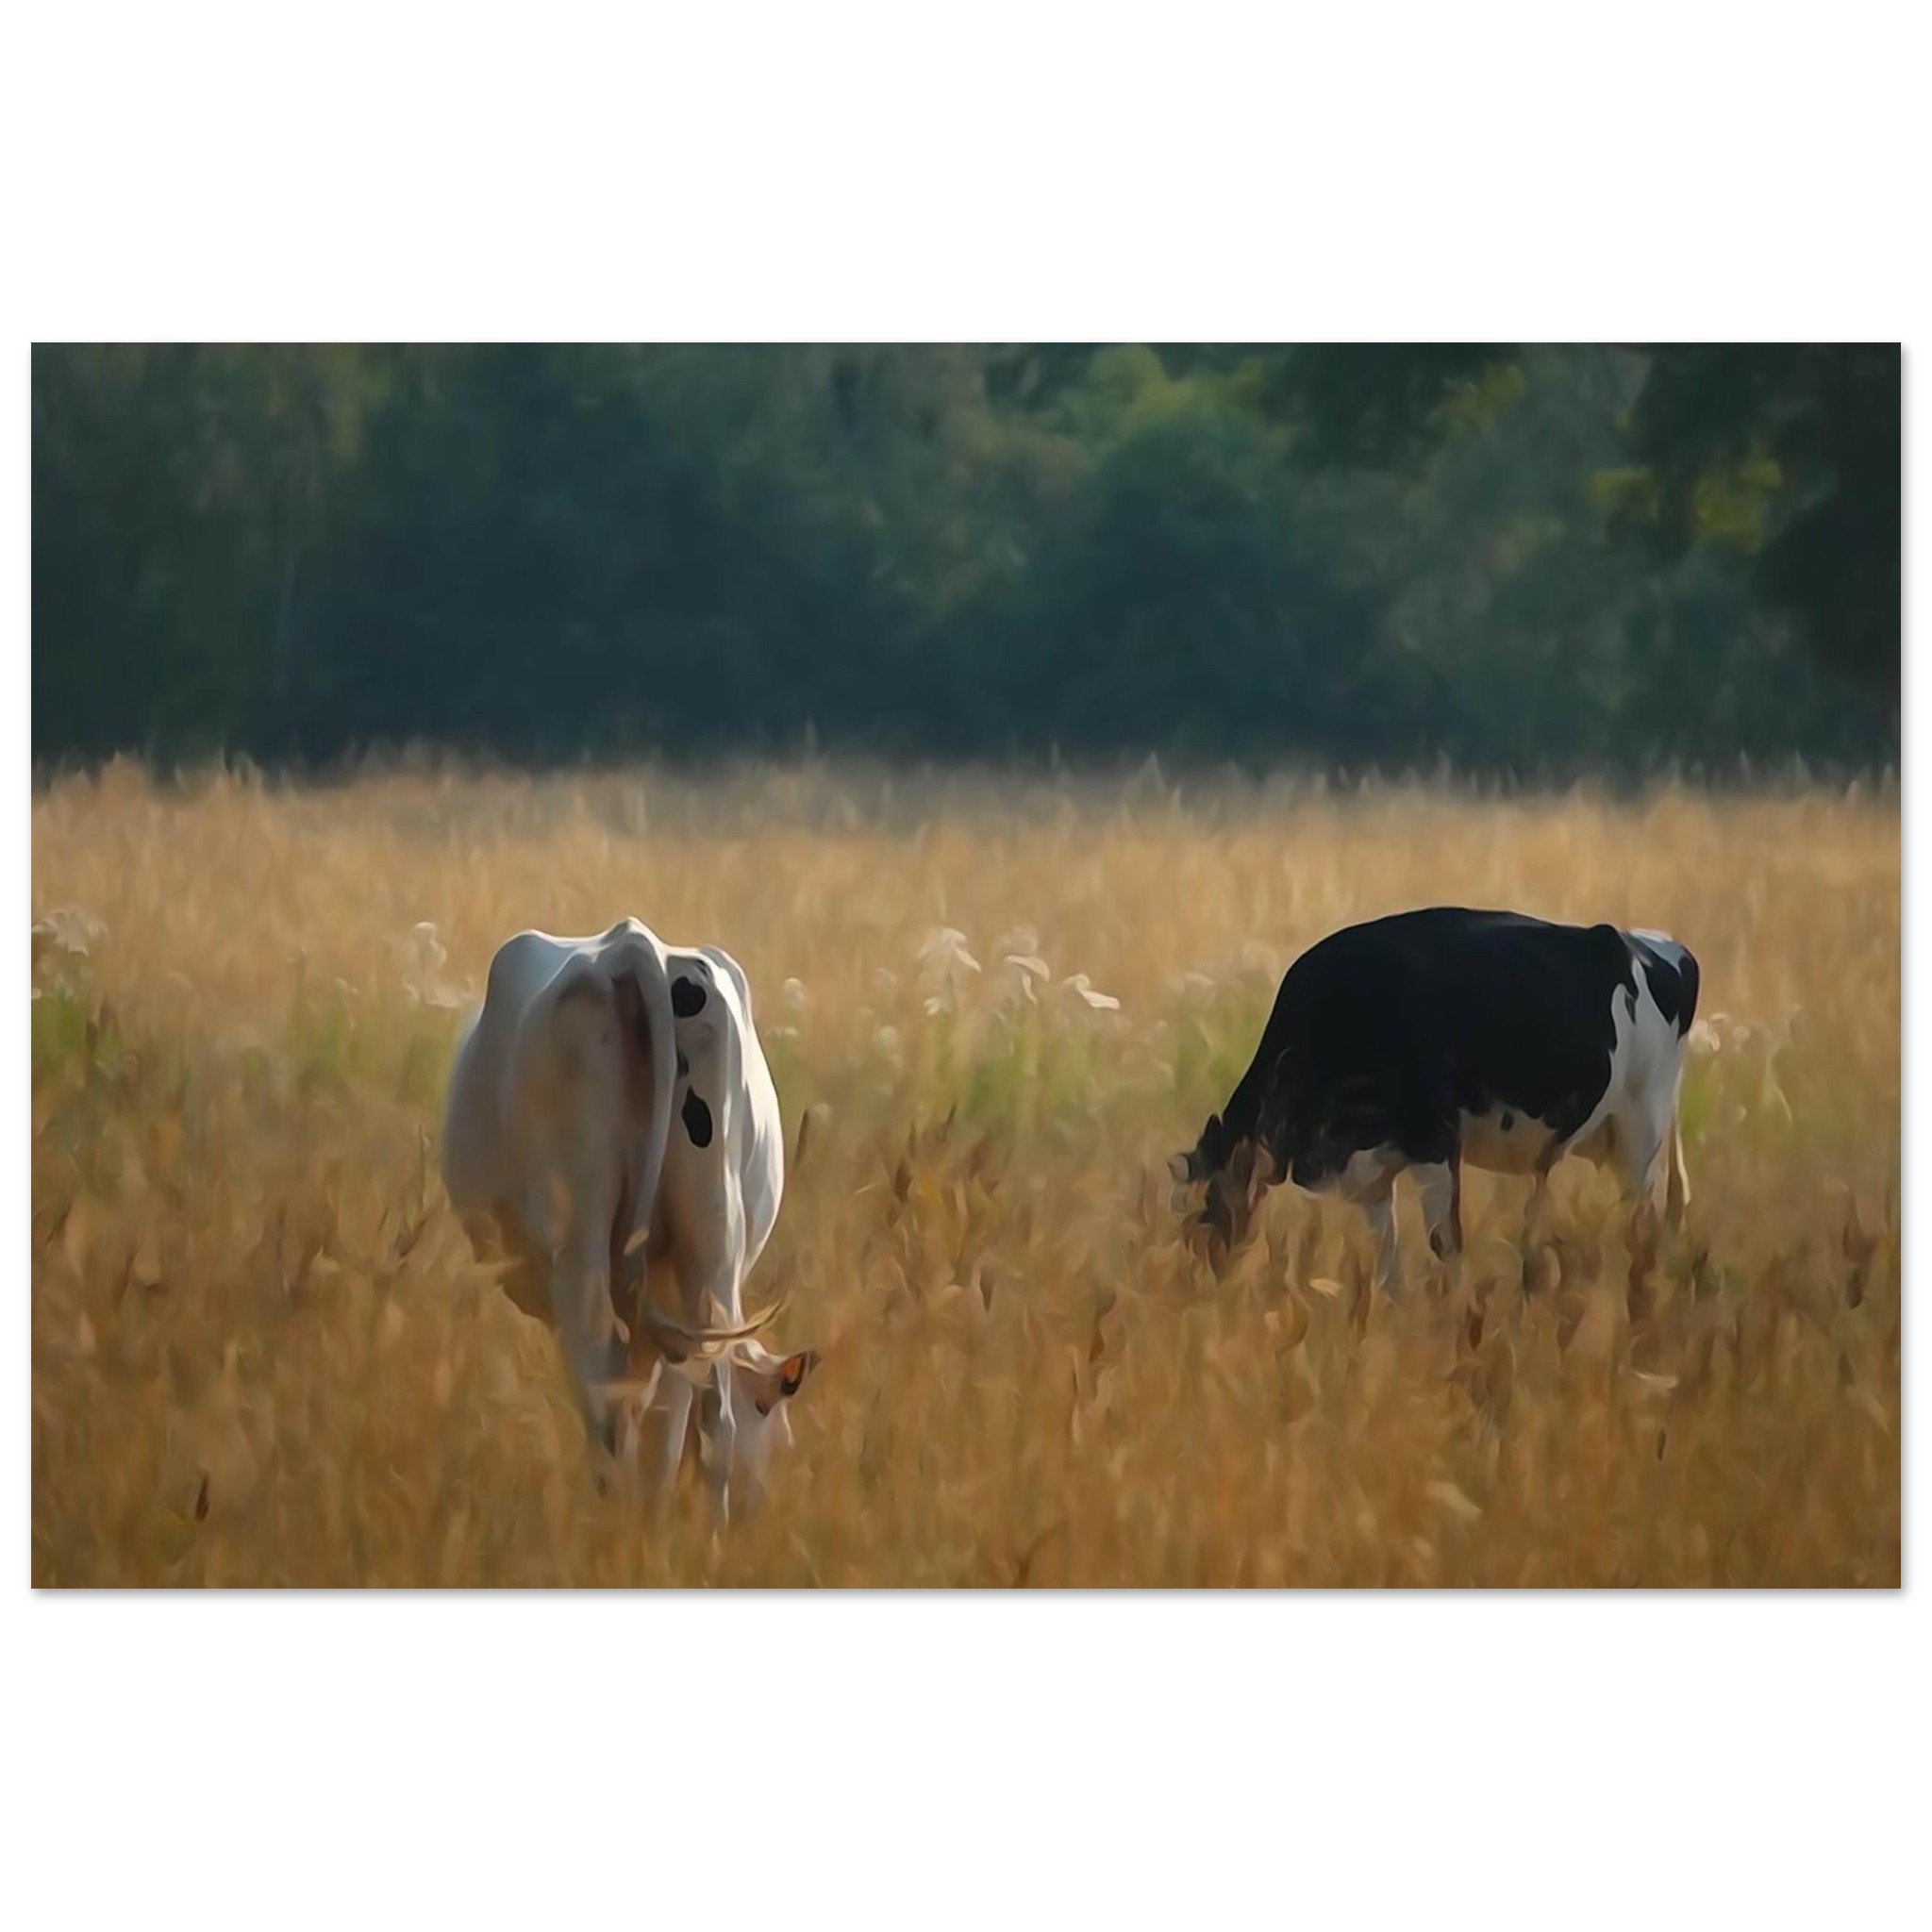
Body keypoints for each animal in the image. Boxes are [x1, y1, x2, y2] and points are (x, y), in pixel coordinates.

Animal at [1170, 908, 1700, 1286]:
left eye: (1202, 1223)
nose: (1201, 1299)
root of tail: (1652, 942)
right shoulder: (1370, 1172)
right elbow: (1386, 1266)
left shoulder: (1436, 1142)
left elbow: (1446, 1246)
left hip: (1641, 1131)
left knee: (1642, 1227)